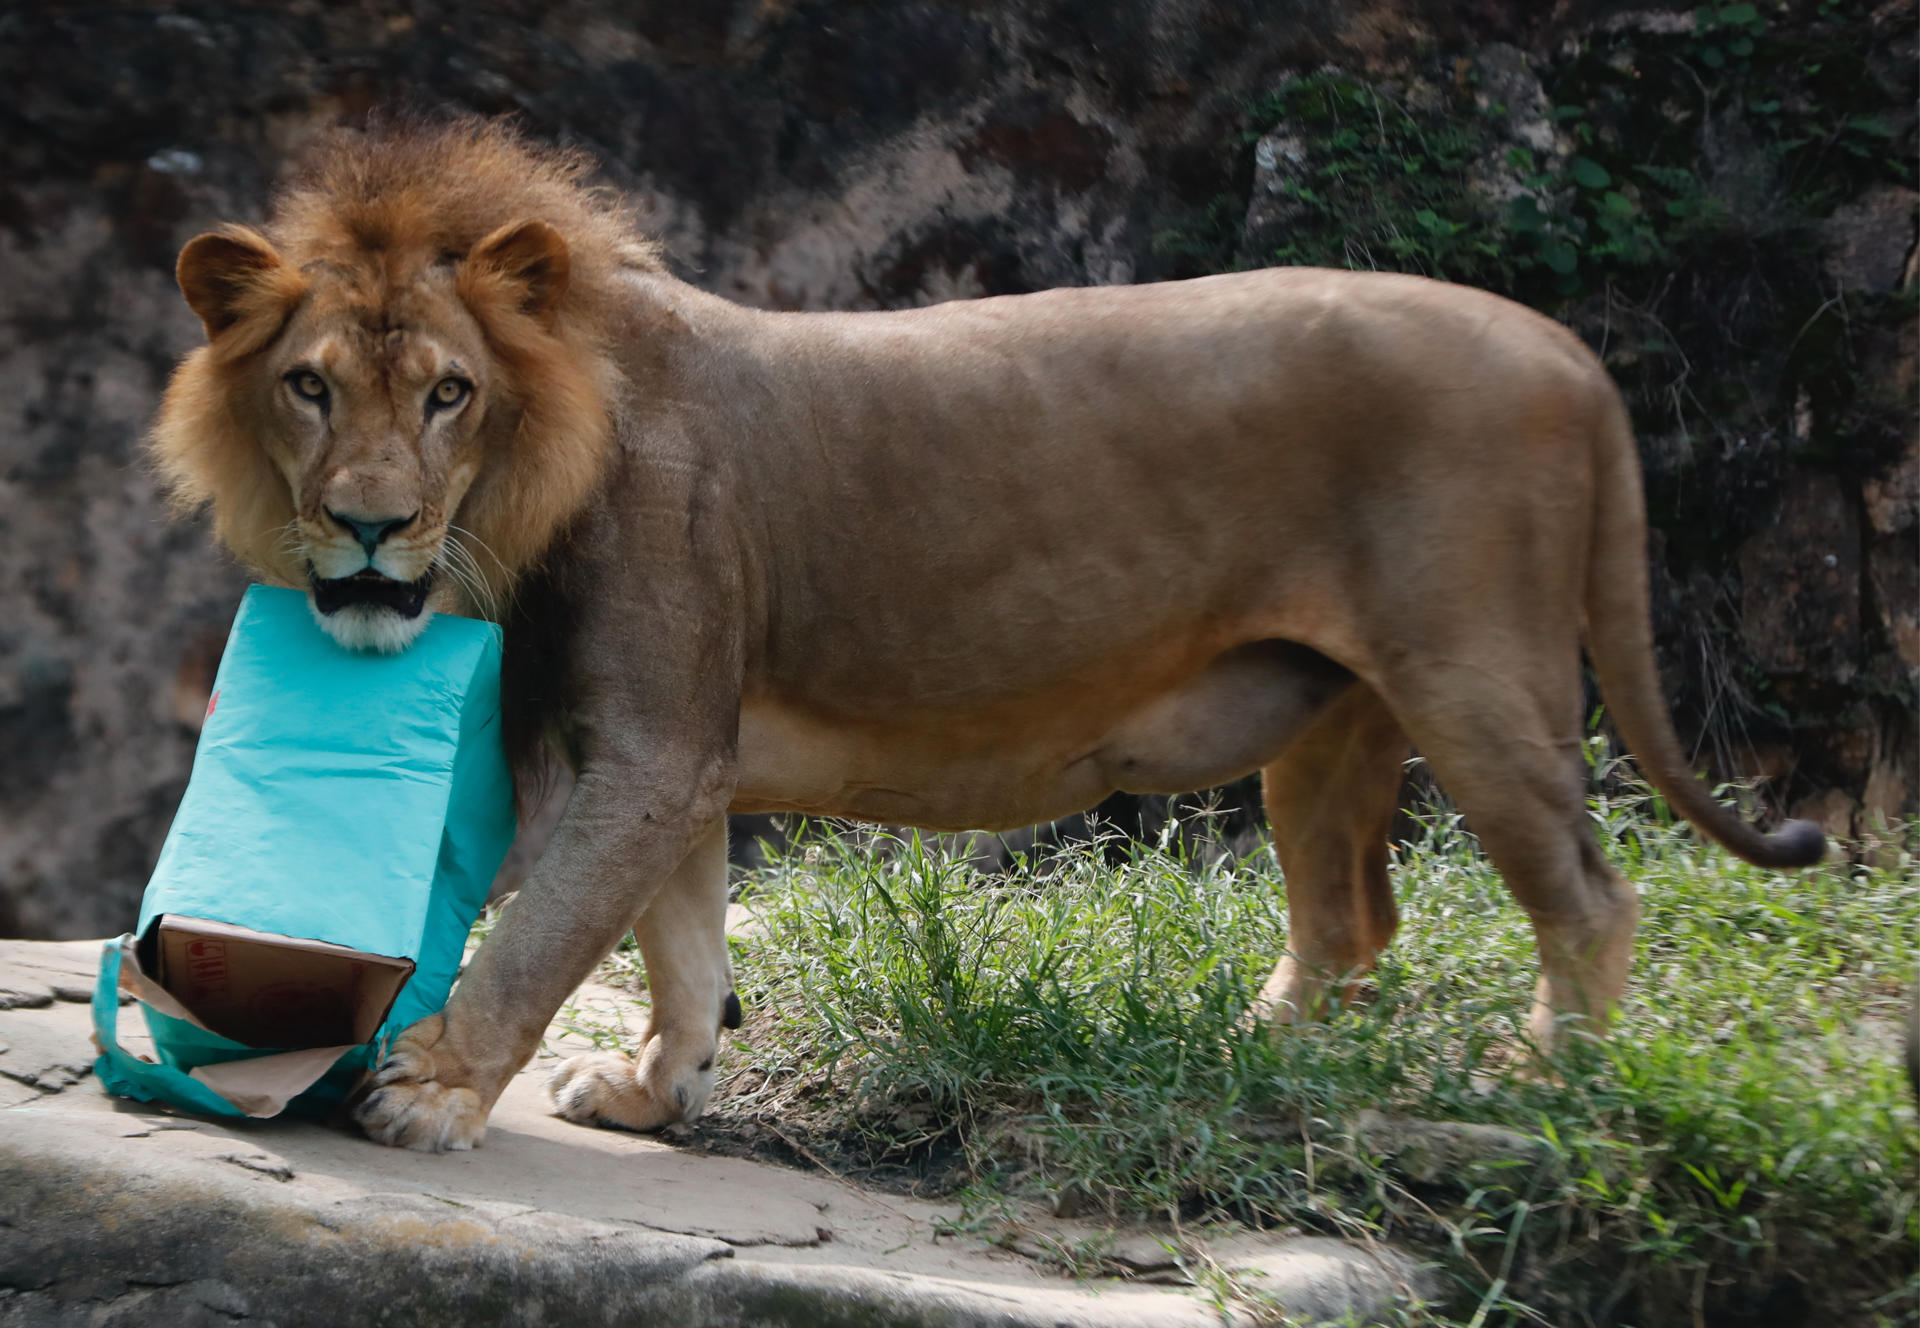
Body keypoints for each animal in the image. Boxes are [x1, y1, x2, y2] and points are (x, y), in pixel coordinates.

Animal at [149, 121, 1812, 1151]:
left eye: (449, 394)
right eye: (309, 386)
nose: (368, 527)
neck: (536, 472)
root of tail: (1570, 353)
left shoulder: (654, 749)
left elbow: (542, 931)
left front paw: (429, 1093)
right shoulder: (677, 758)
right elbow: (681, 944)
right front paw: (653, 1093)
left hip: (1474, 677)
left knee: (1587, 895)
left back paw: (1541, 1082)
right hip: (1332, 713)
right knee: (1351, 923)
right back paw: (1253, 1058)